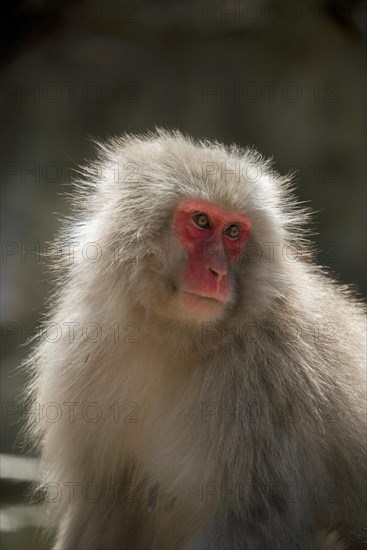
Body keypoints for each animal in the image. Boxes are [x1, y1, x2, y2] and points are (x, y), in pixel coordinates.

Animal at [24, 130, 366, 550]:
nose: (217, 271)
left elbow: (259, 514)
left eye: (233, 231)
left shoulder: (269, 375)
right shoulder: (82, 350)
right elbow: (99, 507)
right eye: (201, 221)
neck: (172, 338)